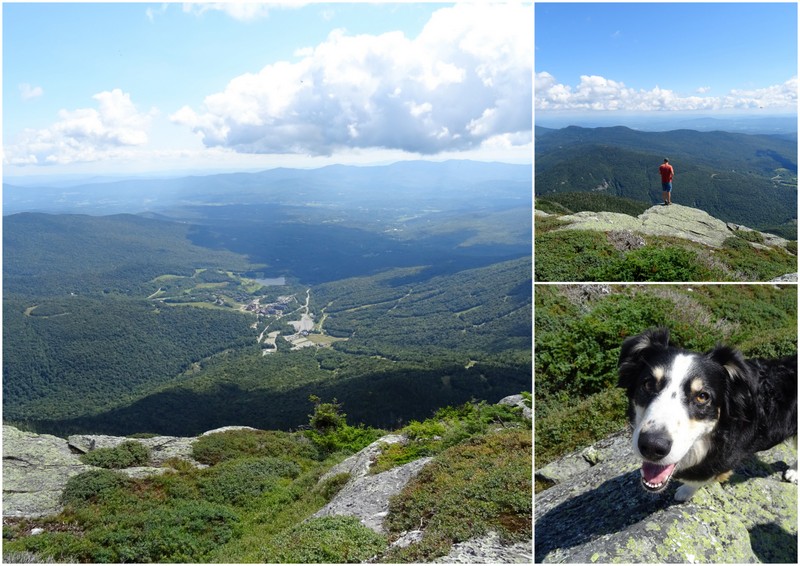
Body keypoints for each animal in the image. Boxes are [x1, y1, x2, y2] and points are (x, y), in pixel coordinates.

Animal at [616, 328, 796, 502]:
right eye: (648, 384)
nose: (652, 446)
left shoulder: (724, 459)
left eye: (702, 396)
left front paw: (685, 491)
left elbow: (701, 478)